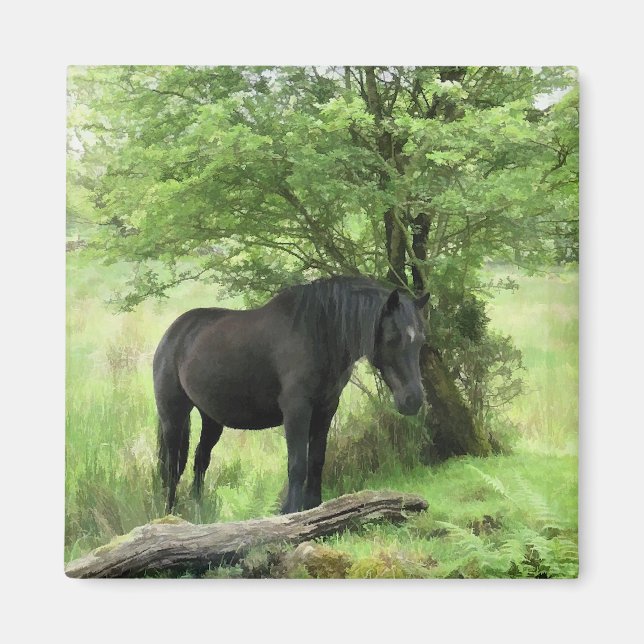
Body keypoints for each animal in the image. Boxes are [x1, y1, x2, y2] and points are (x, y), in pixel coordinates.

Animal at [153, 275, 430, 514]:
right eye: (393, 338)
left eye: (420, 340)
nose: (413, 400)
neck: (318, 334)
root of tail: (173, 333)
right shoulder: (297, 410)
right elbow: (297, 464)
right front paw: (290, 511)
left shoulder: (326, 409)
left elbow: (316, 460)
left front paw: (314, 507)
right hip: (173, 416)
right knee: (172, 468)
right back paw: (169, 515)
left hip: (211, 418)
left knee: (200, 460)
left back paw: (198, 512)